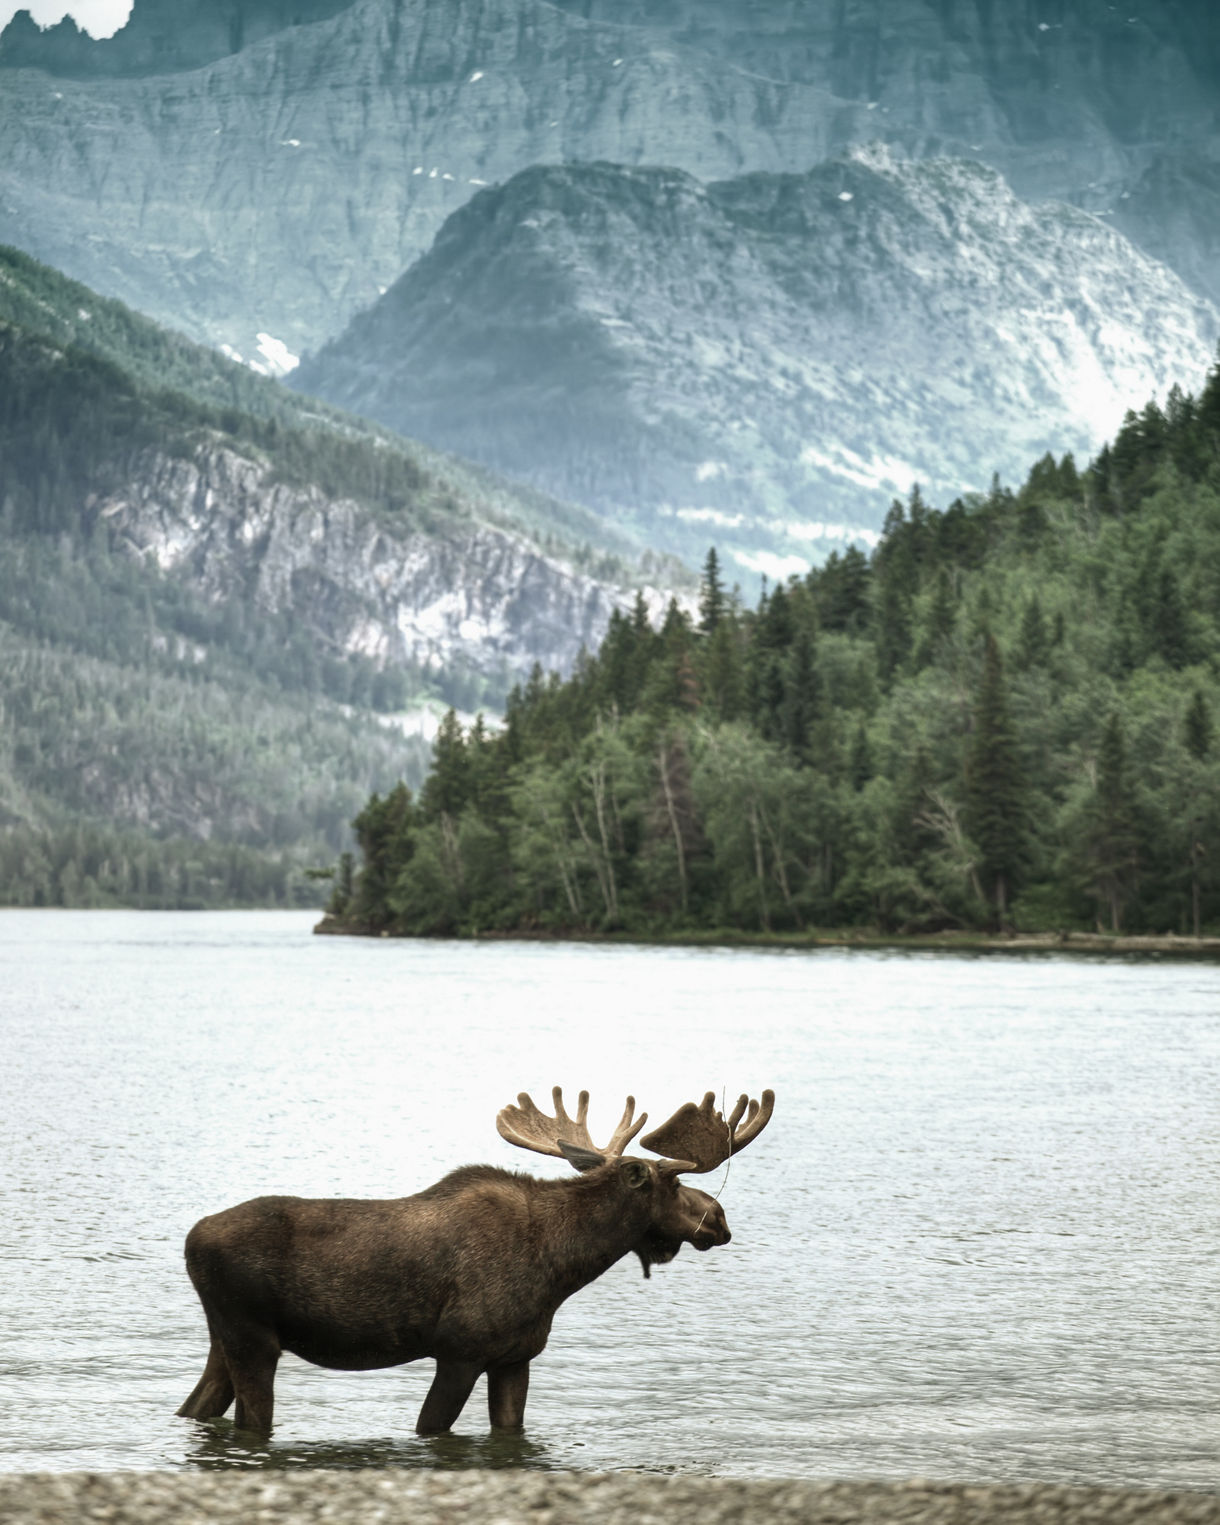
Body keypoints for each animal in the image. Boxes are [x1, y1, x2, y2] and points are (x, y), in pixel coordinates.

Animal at [176, 1085, 774, 1436]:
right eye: (672, 1183)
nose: (719, 1219)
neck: (562, 1268)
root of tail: (190, 1240)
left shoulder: (515, 1357)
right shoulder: (459, 1350)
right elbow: (432, 1427)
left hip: (225, 1337)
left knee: (197, 1405)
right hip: (253, 1338)